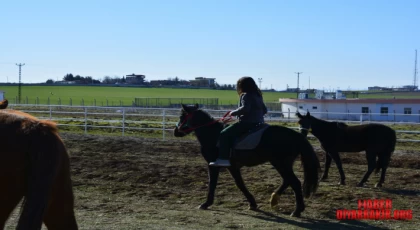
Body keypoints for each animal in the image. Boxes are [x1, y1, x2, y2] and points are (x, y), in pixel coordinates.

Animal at [172, 104, 320, 217]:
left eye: (181, 117)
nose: (175, 131)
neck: (213, 135)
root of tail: (297, 136)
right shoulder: (233, 166)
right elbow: (240, 184)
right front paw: (252, 203)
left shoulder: (213, 165)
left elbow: (213, 183)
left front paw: (206, 203)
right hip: (283, 164)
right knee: (287, 180)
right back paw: (274, 199)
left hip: (280, 163)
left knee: (294, 182)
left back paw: (296, 211)